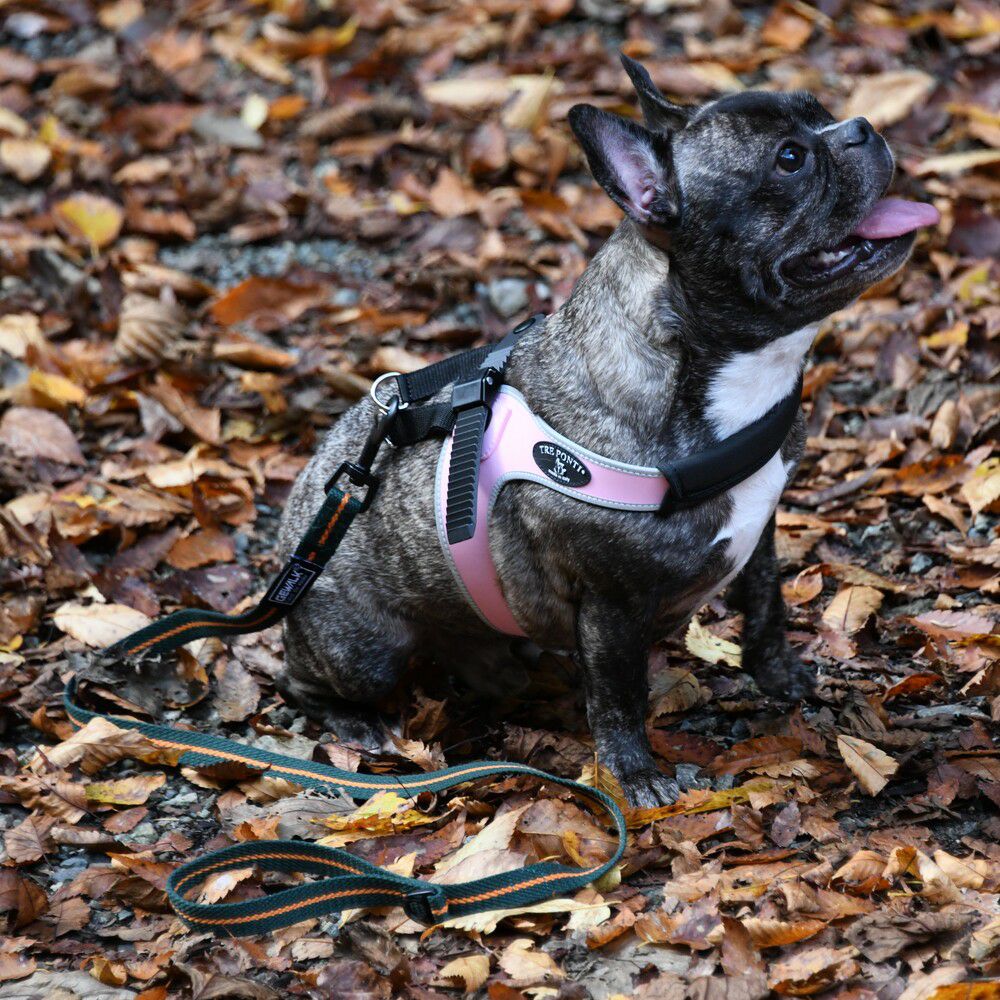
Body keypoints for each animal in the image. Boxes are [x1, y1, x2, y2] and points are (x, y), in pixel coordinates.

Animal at [276, 55, 938, 807]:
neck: (714, 378)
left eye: (819, 111)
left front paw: (781, 678)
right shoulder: (612, 605)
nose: (860, 128)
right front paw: (636, 775)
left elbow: (767, 608)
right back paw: (354, 725)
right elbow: (619, 695)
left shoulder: (763, 530)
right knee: (304, 681)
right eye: (790, 159)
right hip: (367, 653)